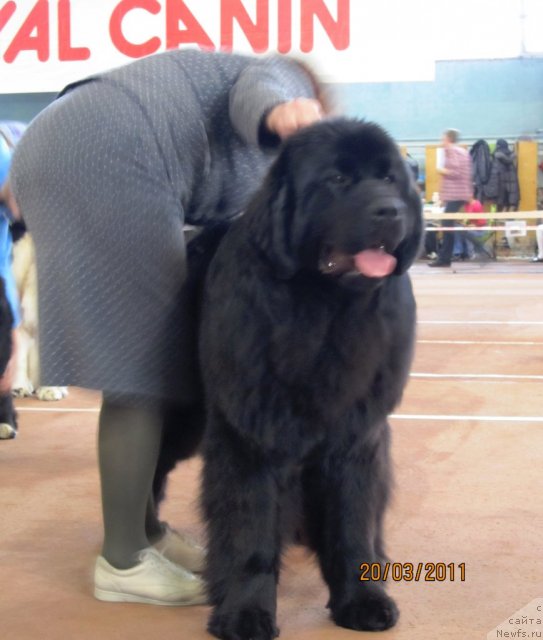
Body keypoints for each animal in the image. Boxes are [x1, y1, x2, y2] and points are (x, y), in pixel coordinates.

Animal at [196, 117, 424, 636]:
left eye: (390, 179)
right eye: (337, 180)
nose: (390, 210)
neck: (324, 310)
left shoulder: (356, 438)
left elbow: (353, 526)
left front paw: (362, 599)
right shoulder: (251, 436)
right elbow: (250, 531)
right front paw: (245, 612)